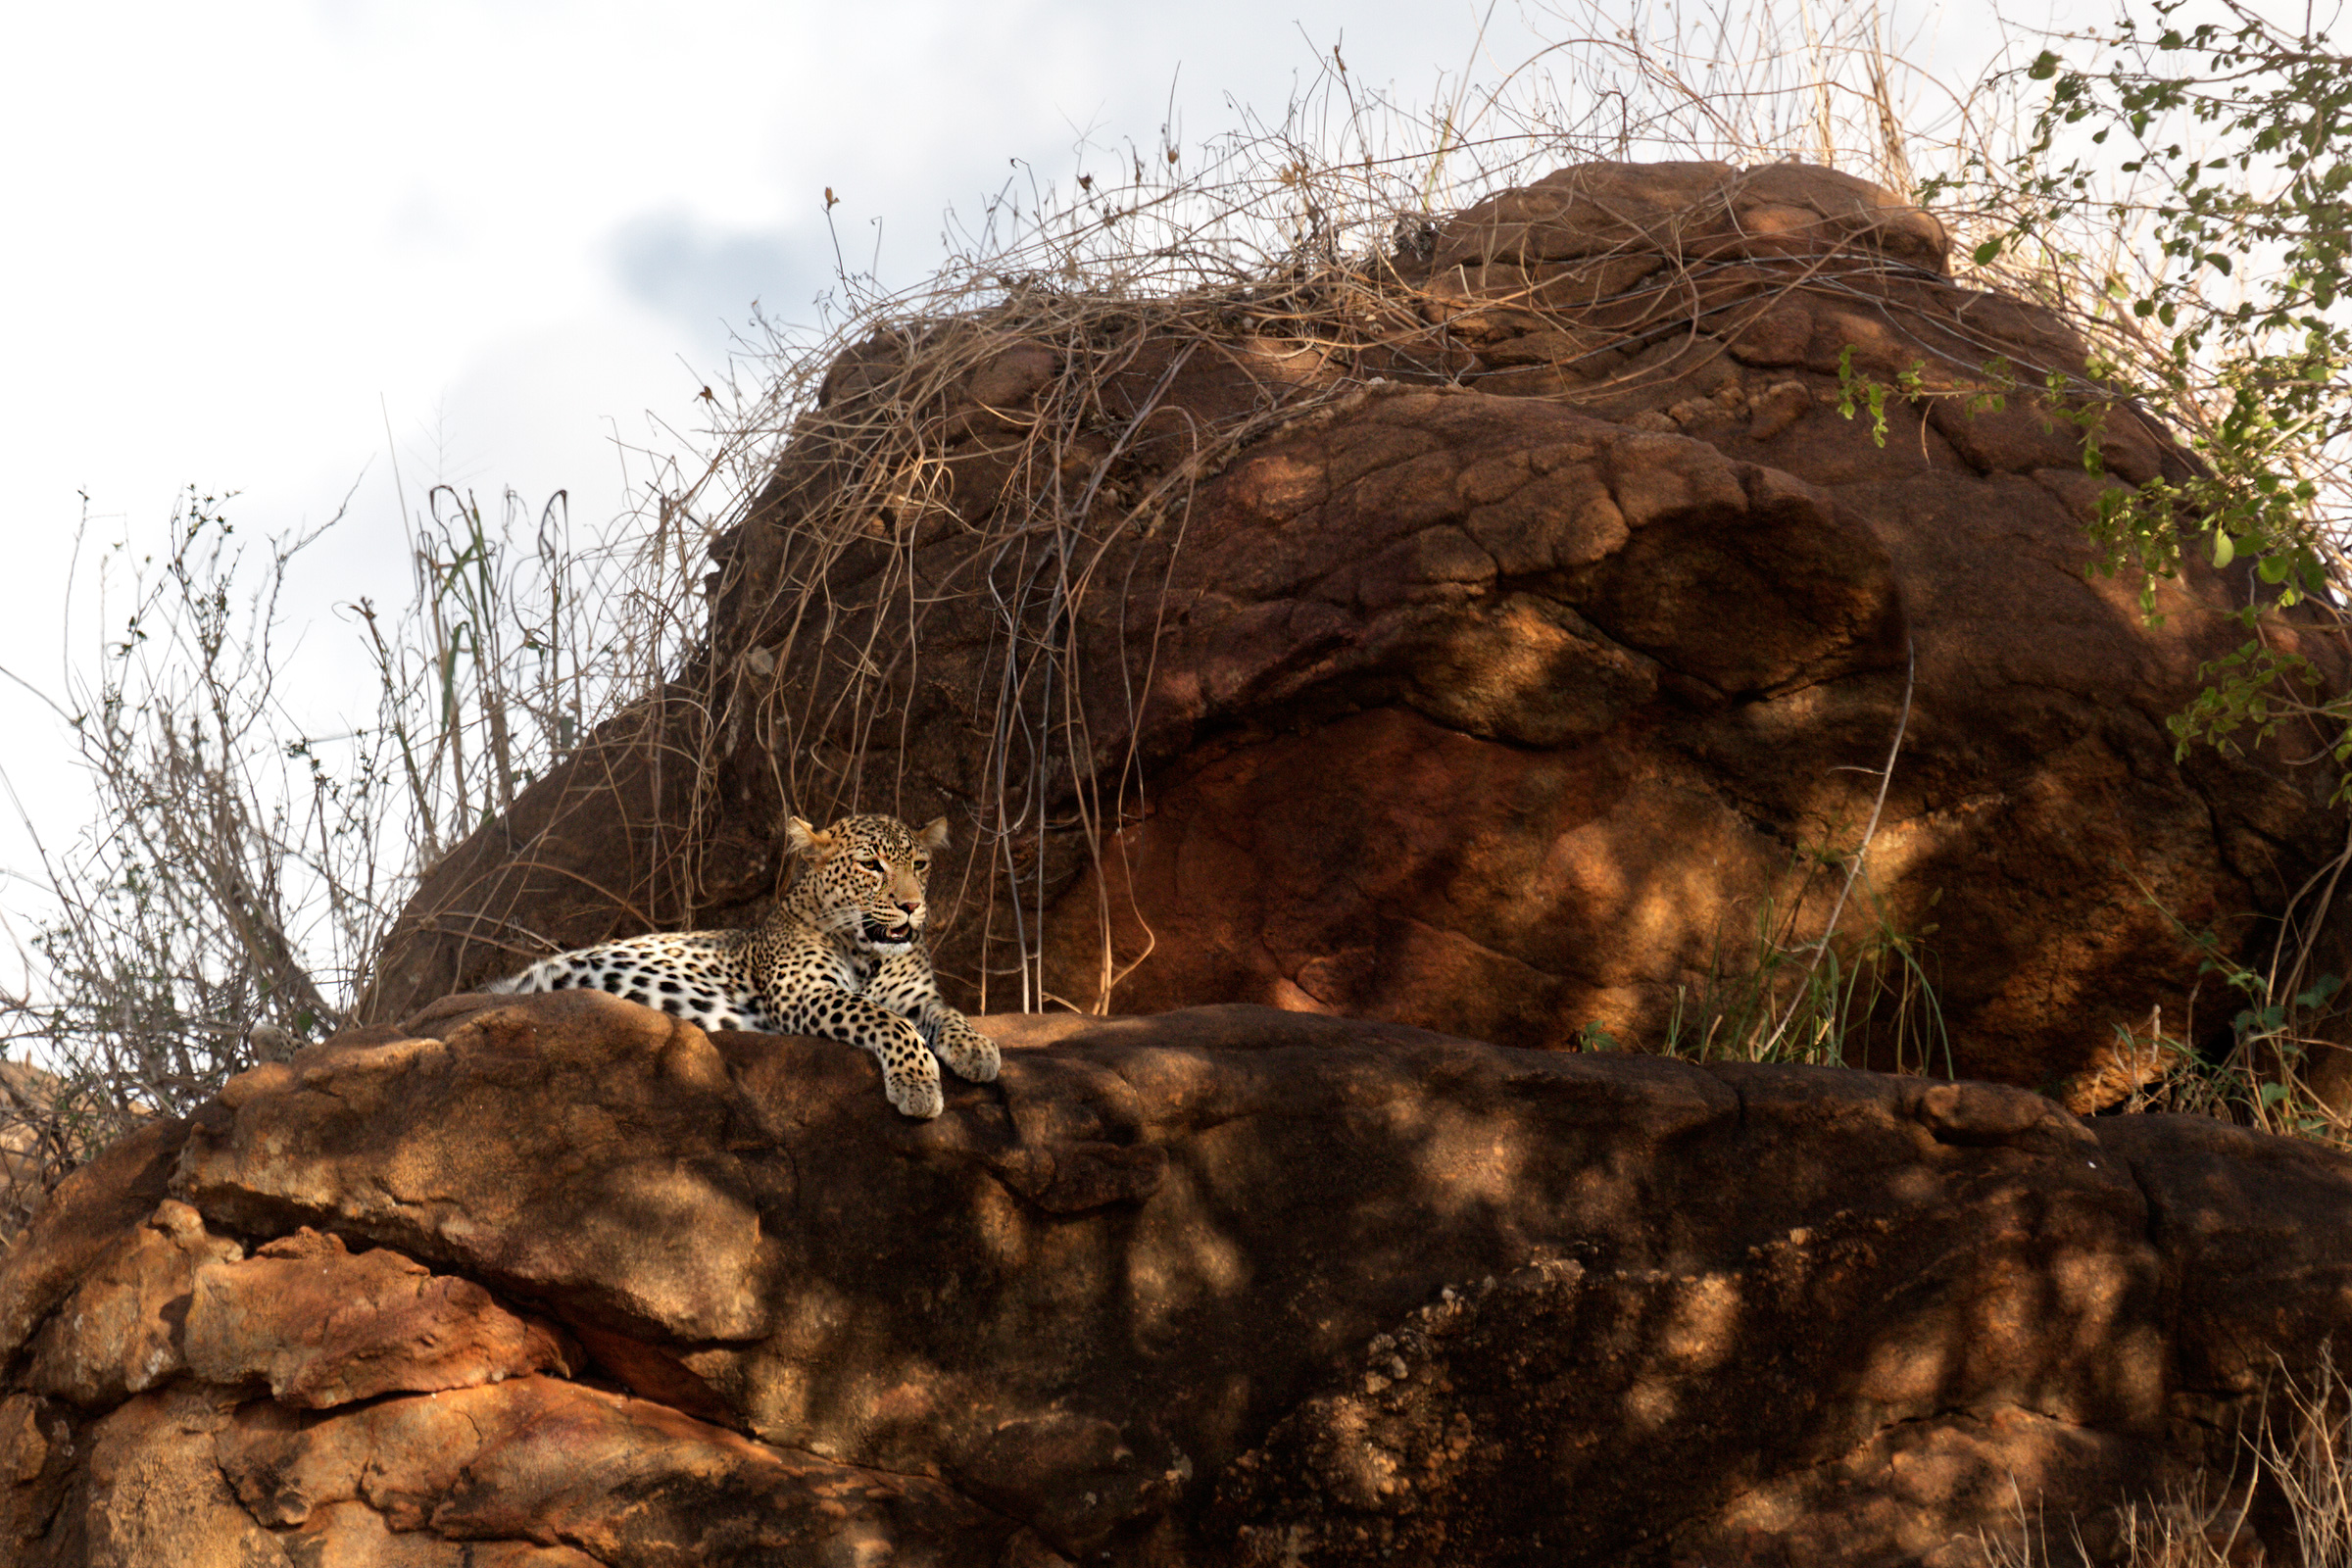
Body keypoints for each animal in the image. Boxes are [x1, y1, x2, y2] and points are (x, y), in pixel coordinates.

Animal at [484, 813, 999, 1119]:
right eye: (871, 865)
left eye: (920, 864)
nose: (912, 906)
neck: (868, 954)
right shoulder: (806, 996)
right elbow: (887, 1019)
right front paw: (918, 1084)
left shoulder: (918, 997)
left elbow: (947, 1013)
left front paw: (977, 1050)